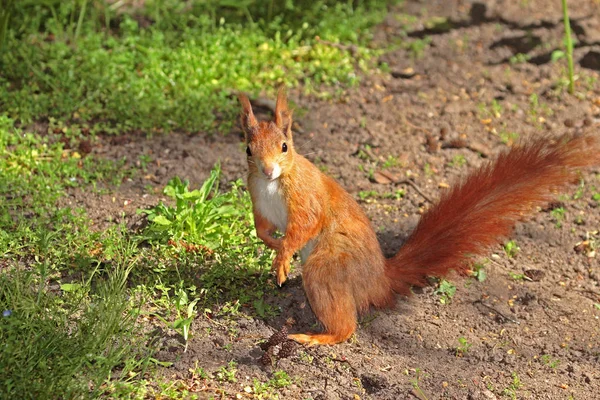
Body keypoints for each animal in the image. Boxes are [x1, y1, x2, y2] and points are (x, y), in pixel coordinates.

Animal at [239, 89, 600, 346]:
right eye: (248, 149)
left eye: (284, 146)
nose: (268, 170)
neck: (272, 185)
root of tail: (379, 279)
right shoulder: (258, 202)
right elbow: (262, 230)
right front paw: (275, 247)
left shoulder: (306, 197)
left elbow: (306, 224)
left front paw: (283, 256)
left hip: (328, 268)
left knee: (346, 325)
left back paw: (317, 336)